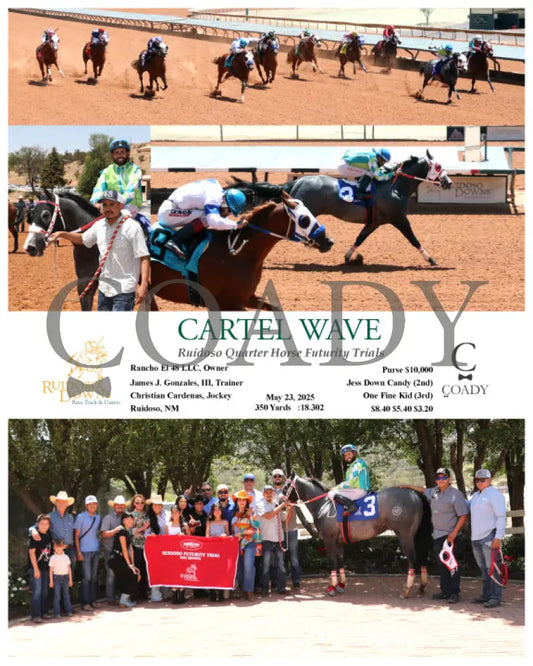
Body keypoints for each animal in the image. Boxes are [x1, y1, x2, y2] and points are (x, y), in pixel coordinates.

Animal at [230, 150, 453, 267]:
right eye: (439, 167)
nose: (449, 182)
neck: (394, 186)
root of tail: (297, 181)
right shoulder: (399, 219)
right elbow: (414, 239)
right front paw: (431, 260)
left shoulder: (375, 222)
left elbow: (360, 238)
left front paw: (349, 257)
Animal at [282, 473, 432, 598]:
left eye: (286, 486)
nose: (279, 502)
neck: (324, 505)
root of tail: (414, 493)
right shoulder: (339, 541)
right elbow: (340, 561)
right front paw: (341, 584)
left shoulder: (329, 539)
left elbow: (333, 561)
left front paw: (332, 587)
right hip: (416, 535)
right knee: (423, 557)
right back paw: (421, 587)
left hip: (404, 535)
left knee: (412, 559)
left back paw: (406, 590)